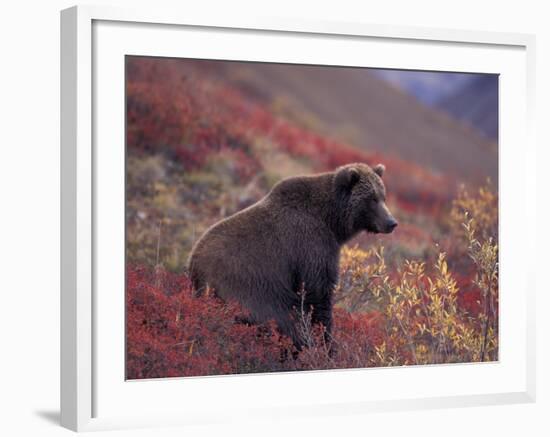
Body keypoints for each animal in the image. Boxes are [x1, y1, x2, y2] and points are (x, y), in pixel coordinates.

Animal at [189, 163, 396, 348]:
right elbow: (318, 293)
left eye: (383, 197)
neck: (331, 222)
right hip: (250, 289)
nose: (391, 222)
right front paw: (326, 342)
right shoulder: (310, 246)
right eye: (372, 199)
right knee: (281, 321)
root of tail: (195, 266)